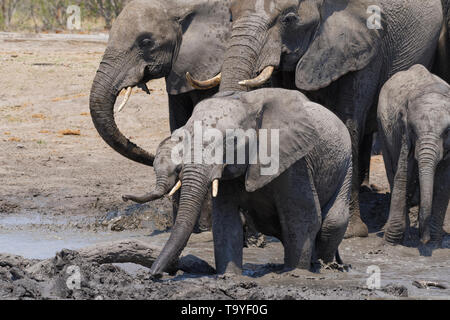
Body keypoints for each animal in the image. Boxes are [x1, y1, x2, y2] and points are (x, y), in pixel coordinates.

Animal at [89, 0, 232, 230]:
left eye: (146, 42)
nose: (124, 197)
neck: (179, 6)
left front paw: (205, 229)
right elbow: (178, 123)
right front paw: (190, 228)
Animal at [378, 65, 448, 245]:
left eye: (447, 131)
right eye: (413, 130)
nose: (423, 239)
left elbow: (444, 181)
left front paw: (435, 241)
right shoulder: (403, 133)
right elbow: (403, 173)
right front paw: (393, 241)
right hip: (382, 127)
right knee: (392, 169)